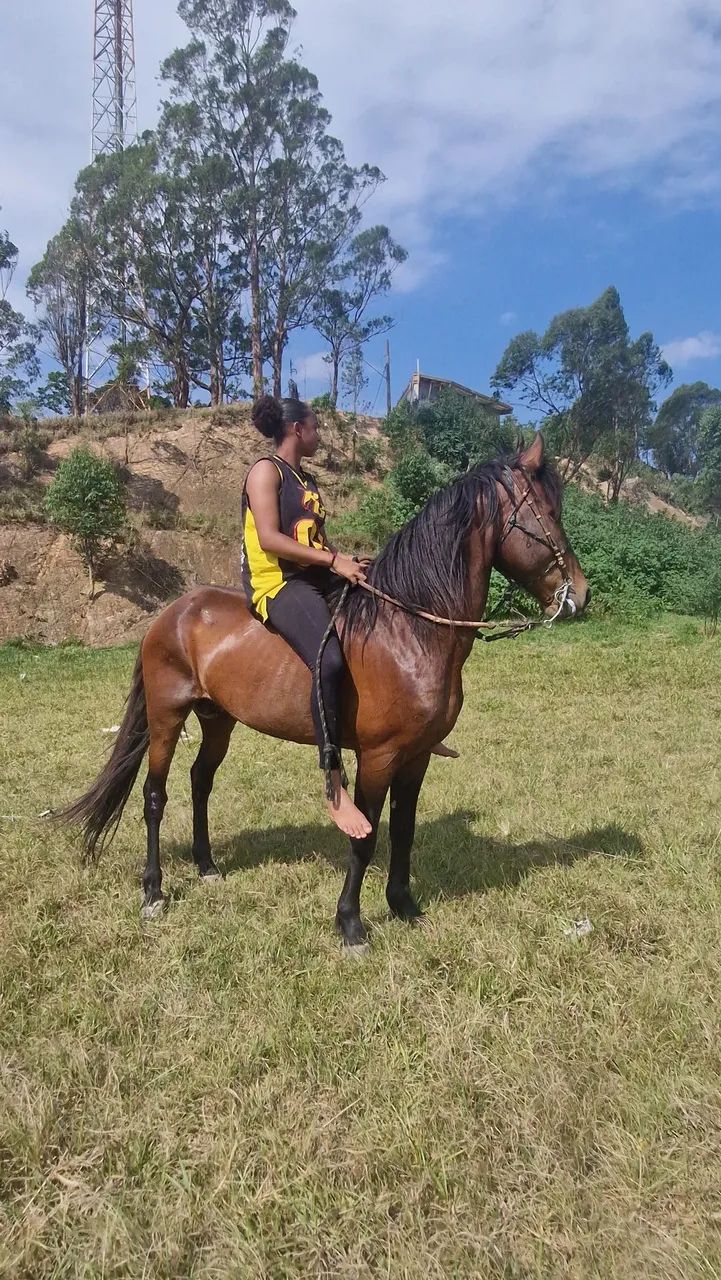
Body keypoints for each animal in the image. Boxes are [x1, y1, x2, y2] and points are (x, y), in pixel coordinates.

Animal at [61, 433, 589, 950]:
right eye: (551, 513)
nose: (579, 595)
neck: (409, 628)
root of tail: (171, 613)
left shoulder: (416, 756)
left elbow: (404, 830)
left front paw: (403, 905)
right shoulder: (378, 756)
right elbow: (366, 836)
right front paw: (351, 923)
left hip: (218, 719)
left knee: (200, 781)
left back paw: (207, 866)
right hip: (167, 716)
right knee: (155, 794)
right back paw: (153, 891)